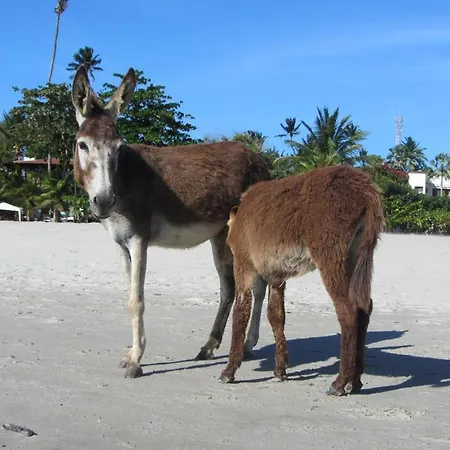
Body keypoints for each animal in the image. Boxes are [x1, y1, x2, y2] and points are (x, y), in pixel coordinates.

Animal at [70, 65, 270, 378]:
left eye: (118, 148)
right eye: (83, 145)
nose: (103, 201)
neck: (123, 180)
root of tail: (261, 161)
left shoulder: (139, 240)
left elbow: (136, 301)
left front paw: (136, 361)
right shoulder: (121, 244)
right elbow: (130, 296)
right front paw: (132, 353)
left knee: (258, 286)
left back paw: (248, 344)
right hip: (220, 235)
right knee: (229, 287)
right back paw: (210, 346)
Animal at [219, 165, 384, 396]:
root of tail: (365, 190)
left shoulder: (244, 264)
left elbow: (241, 311)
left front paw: (229, 370)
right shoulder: (276, 276)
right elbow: (276, 316)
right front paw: (280, 371)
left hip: (330, 255)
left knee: (348, 311)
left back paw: (340, 383)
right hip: (356, 255)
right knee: (364, 308)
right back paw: (355, 382)